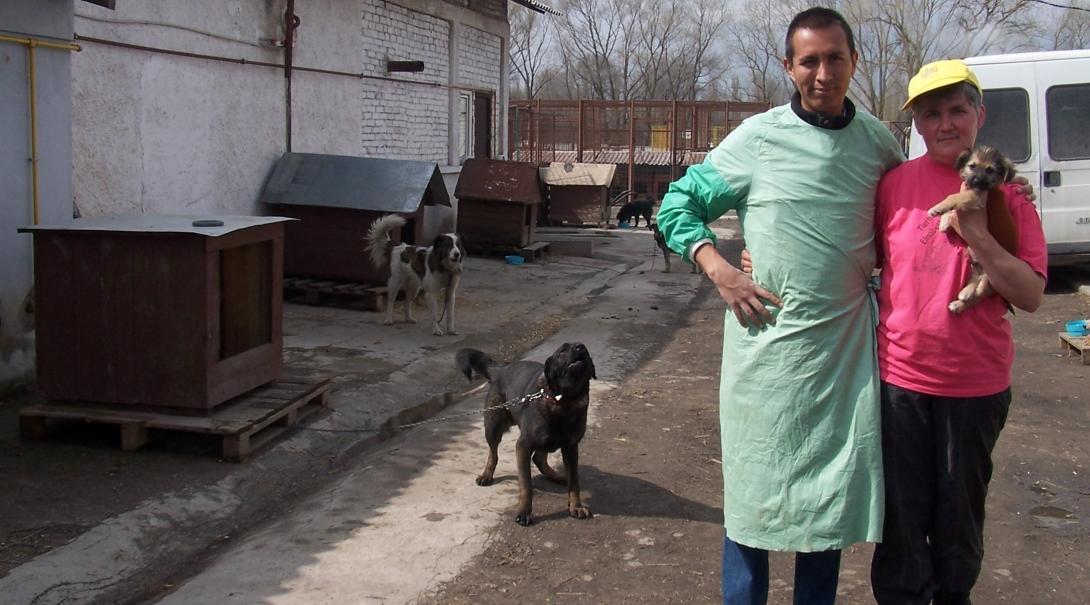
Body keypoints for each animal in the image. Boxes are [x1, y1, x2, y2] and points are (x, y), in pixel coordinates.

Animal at [457, 342, 601, 527]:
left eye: (586, 350)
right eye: (562, 350)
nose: (580, 346)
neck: (563, 401)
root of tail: (501, 369)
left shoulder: (571, 449)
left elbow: (574, 482)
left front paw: (576, 506)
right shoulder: (523, 447)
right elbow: (526, 486)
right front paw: (524, 512)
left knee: (539, 458)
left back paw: (556, 475)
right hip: (493, 427)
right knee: (493, 453)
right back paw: (487, 475)